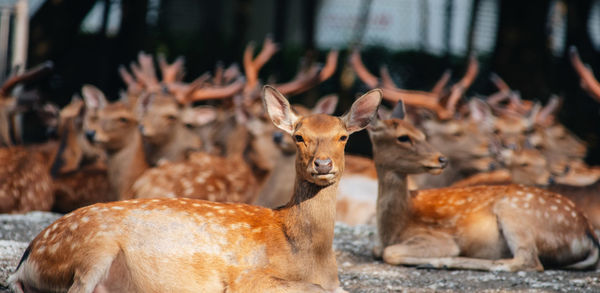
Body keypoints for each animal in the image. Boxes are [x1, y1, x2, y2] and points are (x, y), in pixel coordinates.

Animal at [8, 85, 380, 292]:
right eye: (299, 136)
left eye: (343, 137)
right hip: (92, 248)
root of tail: (28, 255)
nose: (322, 164)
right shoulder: (249, 279)